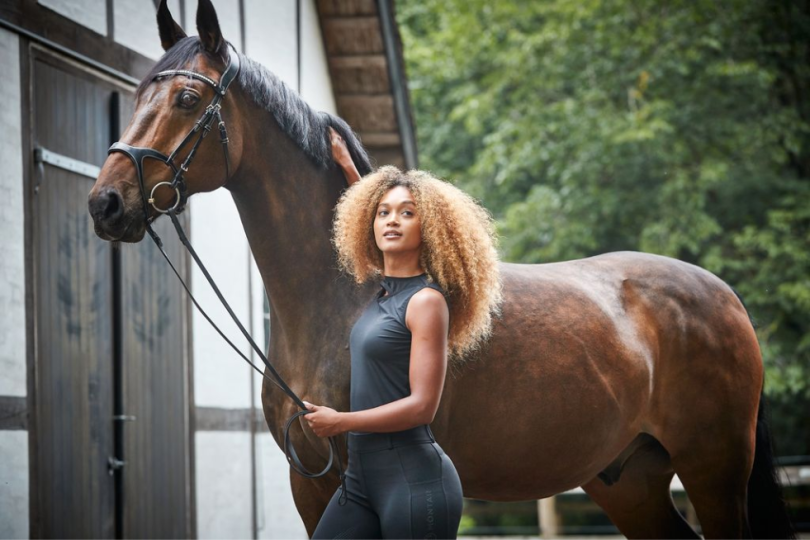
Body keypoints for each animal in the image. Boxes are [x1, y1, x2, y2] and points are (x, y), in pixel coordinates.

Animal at [87, 1, 793, 537]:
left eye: (185, 97)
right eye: (140, 91)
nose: (106, 203)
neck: (343, 298)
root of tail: (723, 295)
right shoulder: (309, 486)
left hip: (713, 470)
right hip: (631, 481)